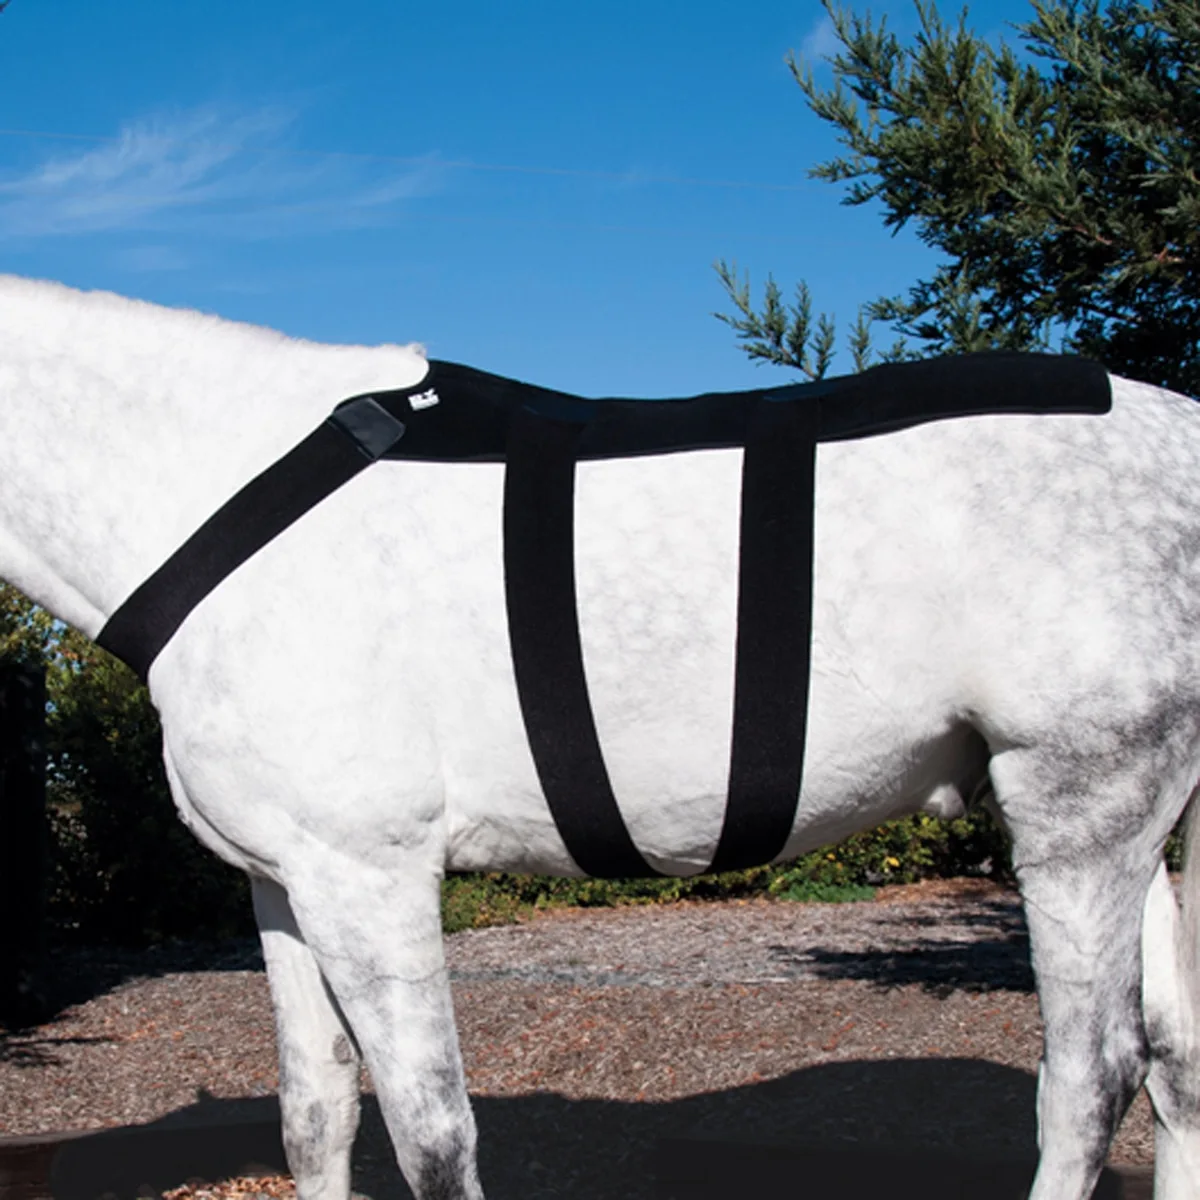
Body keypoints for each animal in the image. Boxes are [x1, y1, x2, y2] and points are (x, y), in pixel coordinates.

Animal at [2, 274, 1198, 1200]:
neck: (221, 489)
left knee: (1092, 1079)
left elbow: (432, 1139)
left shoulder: (369, 877)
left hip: (1083, 806)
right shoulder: (286, 881)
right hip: (1138, 828)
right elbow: (316, 1116)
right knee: (1178, 1063)